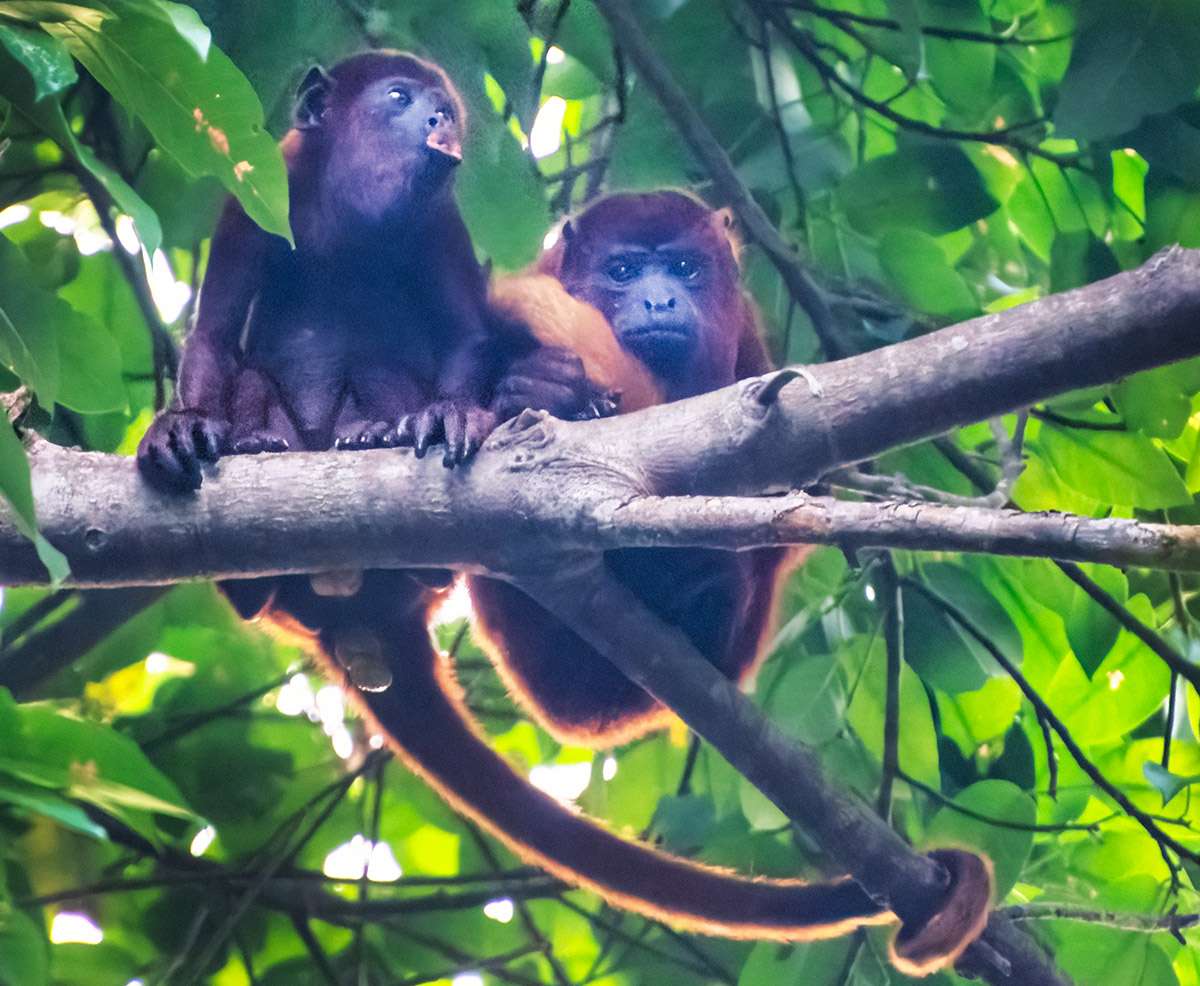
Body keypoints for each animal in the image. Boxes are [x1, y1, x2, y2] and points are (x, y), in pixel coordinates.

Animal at [133, 54, 988, 972]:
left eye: (686, 273)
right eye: (623, 273)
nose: (658, 301)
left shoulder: (752, 343)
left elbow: (794, 493)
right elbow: (221, 330)